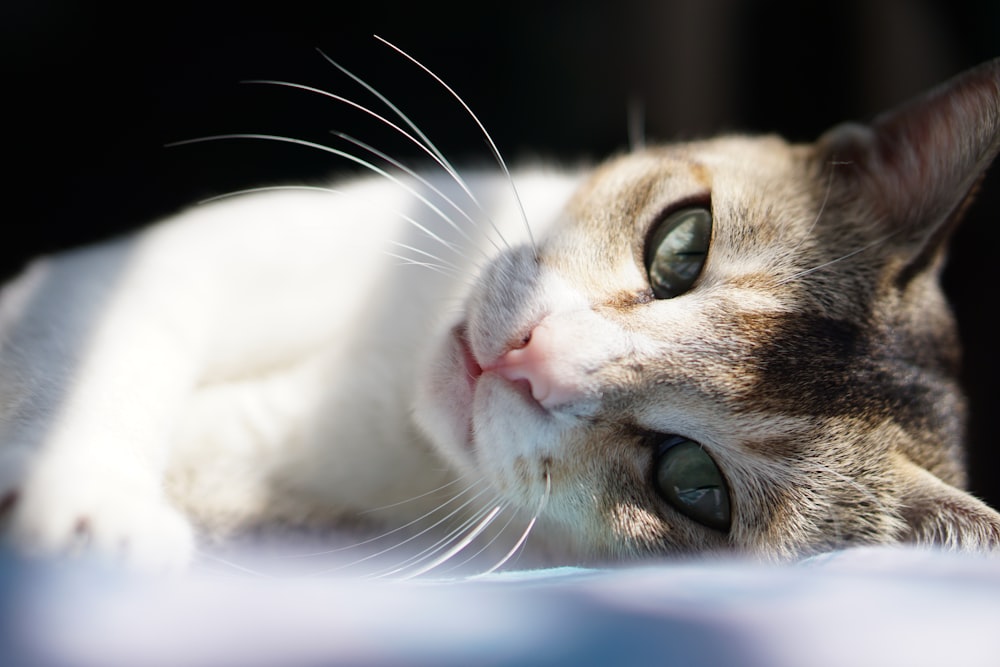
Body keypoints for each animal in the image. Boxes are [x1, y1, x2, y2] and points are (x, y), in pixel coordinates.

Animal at [0, 47, 996, 576]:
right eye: (683, 244)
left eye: (694, 484)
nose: (528, 355)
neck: (383, 396)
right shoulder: (190, 260)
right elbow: (112, 346)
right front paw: (84, 497)